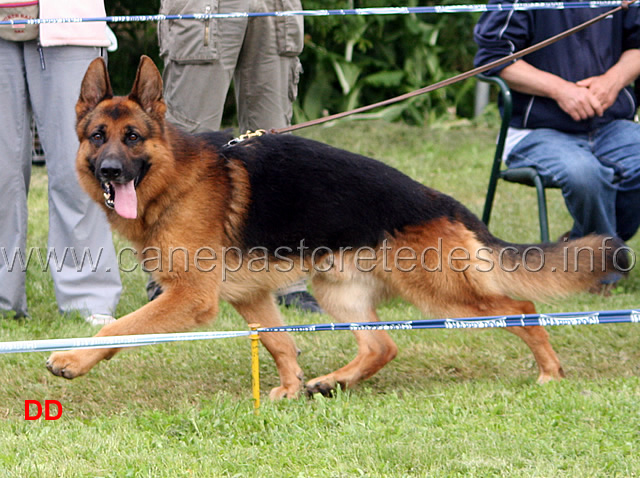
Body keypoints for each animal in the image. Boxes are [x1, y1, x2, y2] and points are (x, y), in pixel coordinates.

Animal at [47, 56, 628, 398]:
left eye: (133, 136)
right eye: (98, 136)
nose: (111, 171)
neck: (173, 179)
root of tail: (439, 200)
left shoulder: (190, 297)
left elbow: (122, 329)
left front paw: (72, 359)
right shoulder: (249, 296)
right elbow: (279, 342)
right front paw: (288, 388)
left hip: (438, 292)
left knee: (520, 307)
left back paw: (550, 372)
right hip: (337, 289)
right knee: (382, 346)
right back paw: (333, 382)